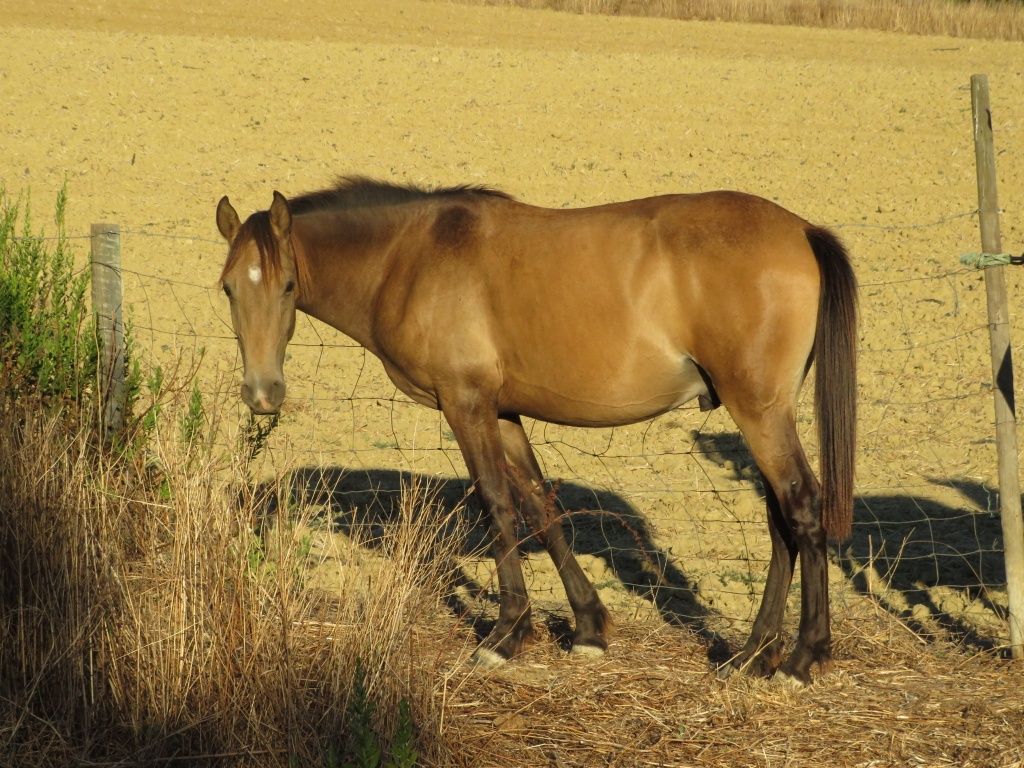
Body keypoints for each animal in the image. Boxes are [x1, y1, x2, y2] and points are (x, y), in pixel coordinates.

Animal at [216, 179, 856, 684]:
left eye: (288, 286)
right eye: (228, 288)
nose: (263, 394)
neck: (410, 256)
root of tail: (801, 231)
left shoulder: (466, 405)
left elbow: (497, 505)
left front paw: (505, 635)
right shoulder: (502, 414)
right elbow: (539, 506)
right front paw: (588, 628)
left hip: (759, 413)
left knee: (801, 507)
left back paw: (802, 658)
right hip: (761, 415)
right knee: (779, 521)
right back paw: (753, 653)